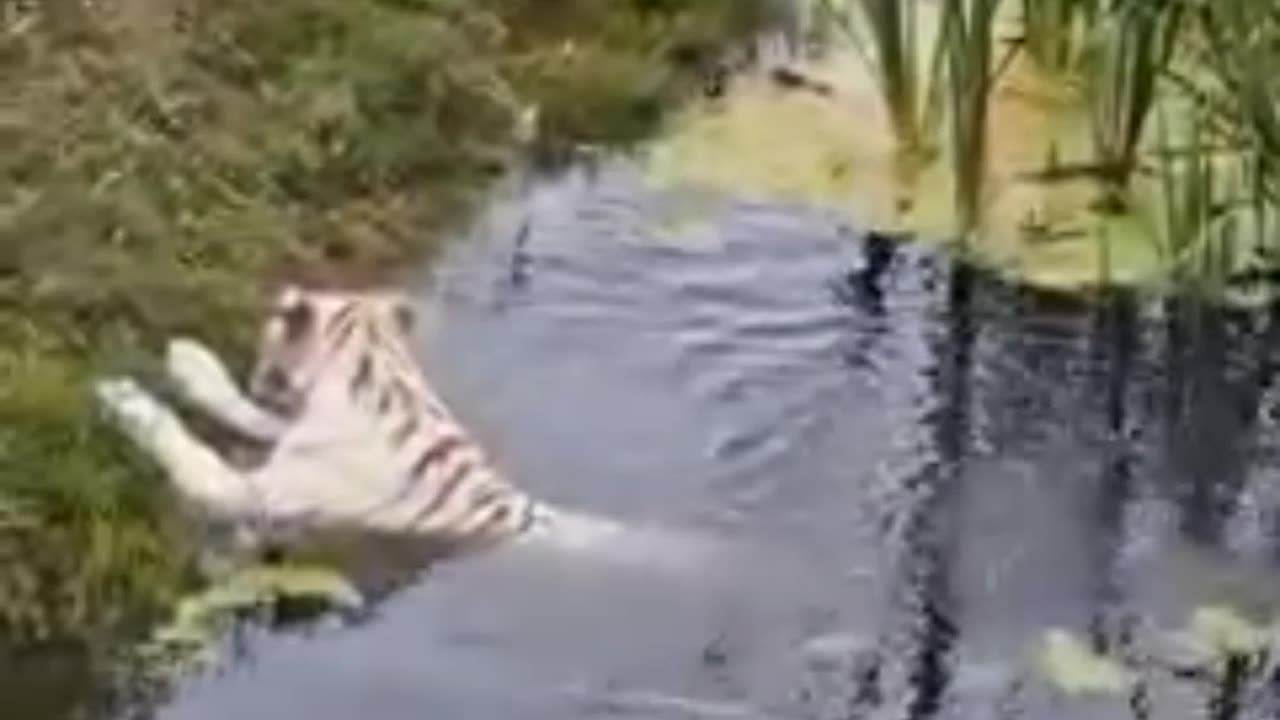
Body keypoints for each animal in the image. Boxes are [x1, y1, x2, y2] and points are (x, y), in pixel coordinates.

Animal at [92, 280, 711, 571]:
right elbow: (250, 413)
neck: (380, 377)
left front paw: (120, 395)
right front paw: (190, 361)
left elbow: (187, 446)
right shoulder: (294, 441)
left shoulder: (252, 494)